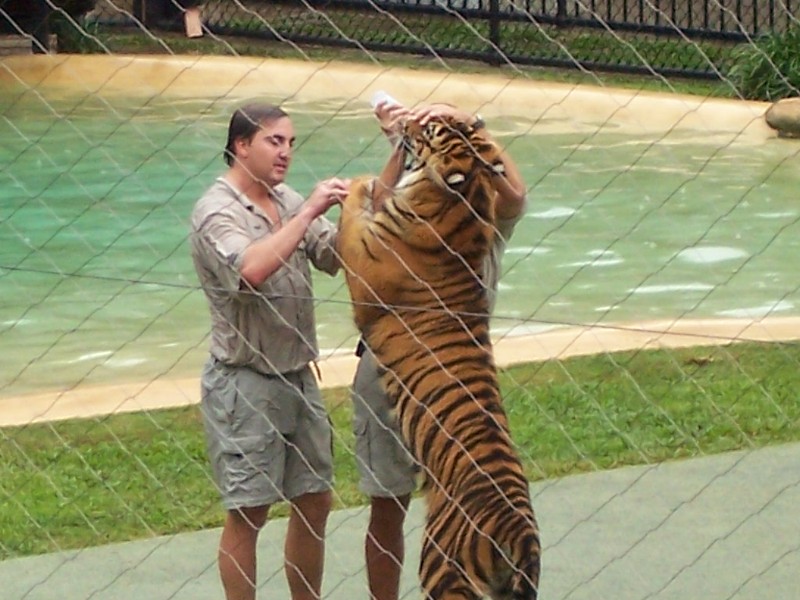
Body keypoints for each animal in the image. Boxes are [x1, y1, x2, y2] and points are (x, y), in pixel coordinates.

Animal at [334, 113, 540, 600]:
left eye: (427, 129)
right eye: (442, 121)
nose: (404, 121)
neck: (465, 204)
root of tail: (520, 532)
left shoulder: (362, 264)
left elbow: (353, 212)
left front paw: (357, 183)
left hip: (442, 571)